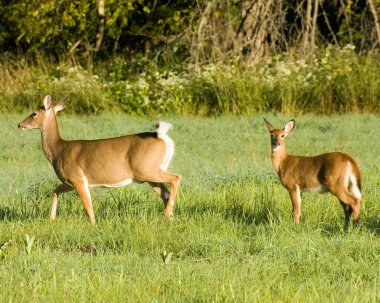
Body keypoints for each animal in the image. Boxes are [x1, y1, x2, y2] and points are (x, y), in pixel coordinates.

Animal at [18, 95, 182, 223]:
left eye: (33, 114)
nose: (20, 124)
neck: (59, 150)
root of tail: (162, 136)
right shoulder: (69, 181)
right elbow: (55, 191)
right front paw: (51, 218)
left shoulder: (77, 178)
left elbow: (87, 205)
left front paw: (93, 224)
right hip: (149, 174)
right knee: (165, 192)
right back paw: (170, 217)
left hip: (146, 169)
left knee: (176, 177)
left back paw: (167, 213)